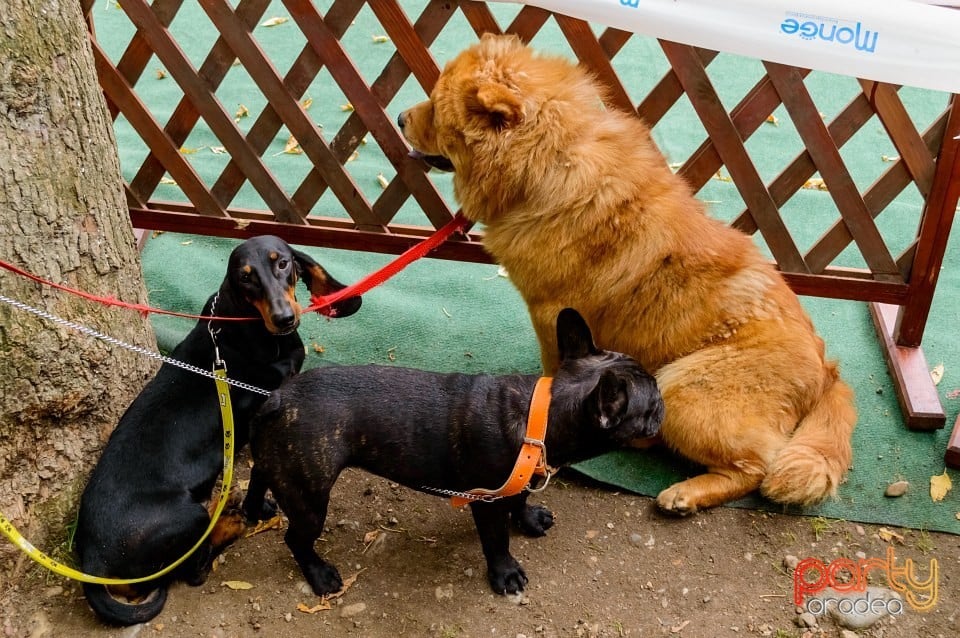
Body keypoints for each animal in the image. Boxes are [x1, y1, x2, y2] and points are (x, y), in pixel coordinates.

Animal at [398, 33, 856, 516]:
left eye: (437, 108)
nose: (400, 118)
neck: (551, 160)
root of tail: (828, 372)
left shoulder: (551, 313)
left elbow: (555, 368)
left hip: (682, 389)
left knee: (753, 467)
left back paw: (684, 493)